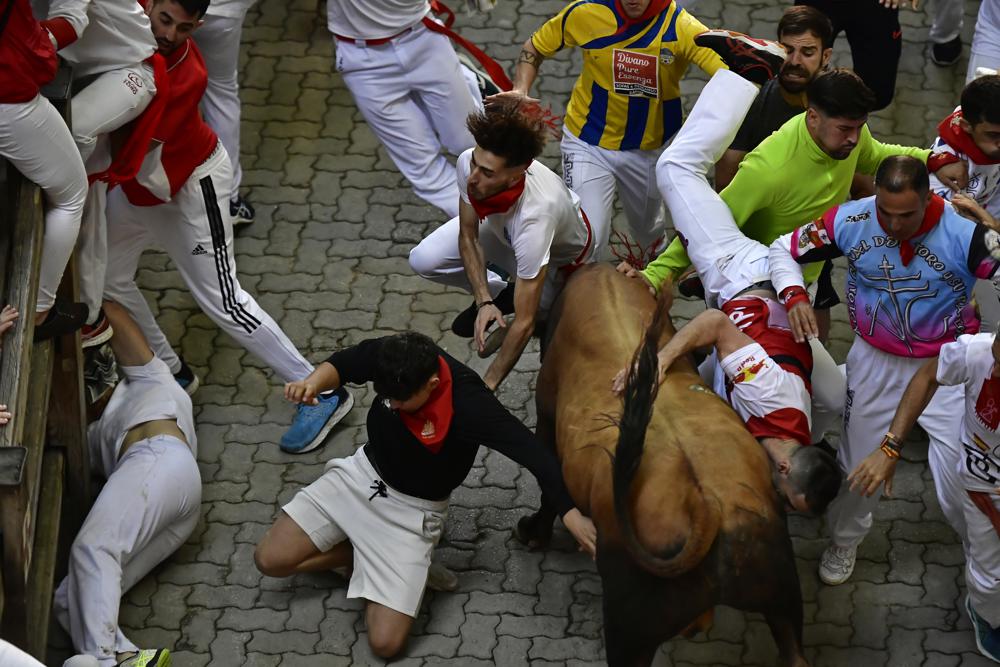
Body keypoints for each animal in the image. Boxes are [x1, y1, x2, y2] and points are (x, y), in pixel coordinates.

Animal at [520, 264, 808, 664]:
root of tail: (708, 510)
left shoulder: (546, 415)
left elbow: (549, 485)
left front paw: (534, 532)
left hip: (629, 633)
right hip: (782, 596)